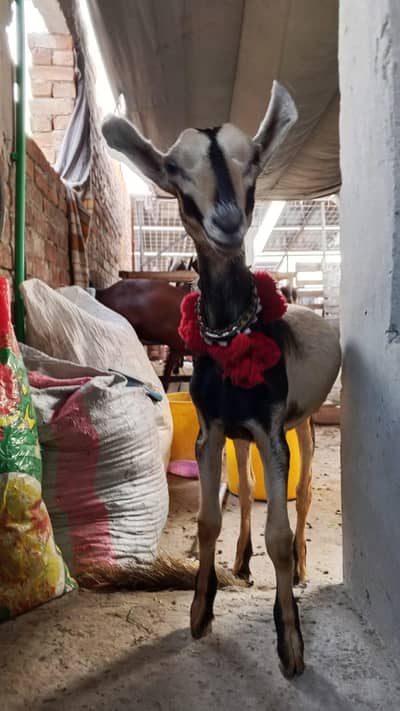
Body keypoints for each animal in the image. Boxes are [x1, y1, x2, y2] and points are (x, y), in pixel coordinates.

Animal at [102, 81, 341, 678]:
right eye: (171, 168)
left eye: (253, 160)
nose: (227, 221)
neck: (238, 337)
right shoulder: (215, 431)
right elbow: (209, 518)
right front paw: (199, 611)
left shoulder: (271, 428)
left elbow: (279, 531)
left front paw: (290, 643)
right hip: (241, 435)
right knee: (248, 489)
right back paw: (242, 560)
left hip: (300, 424)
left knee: (303, 493)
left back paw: (302, 568)